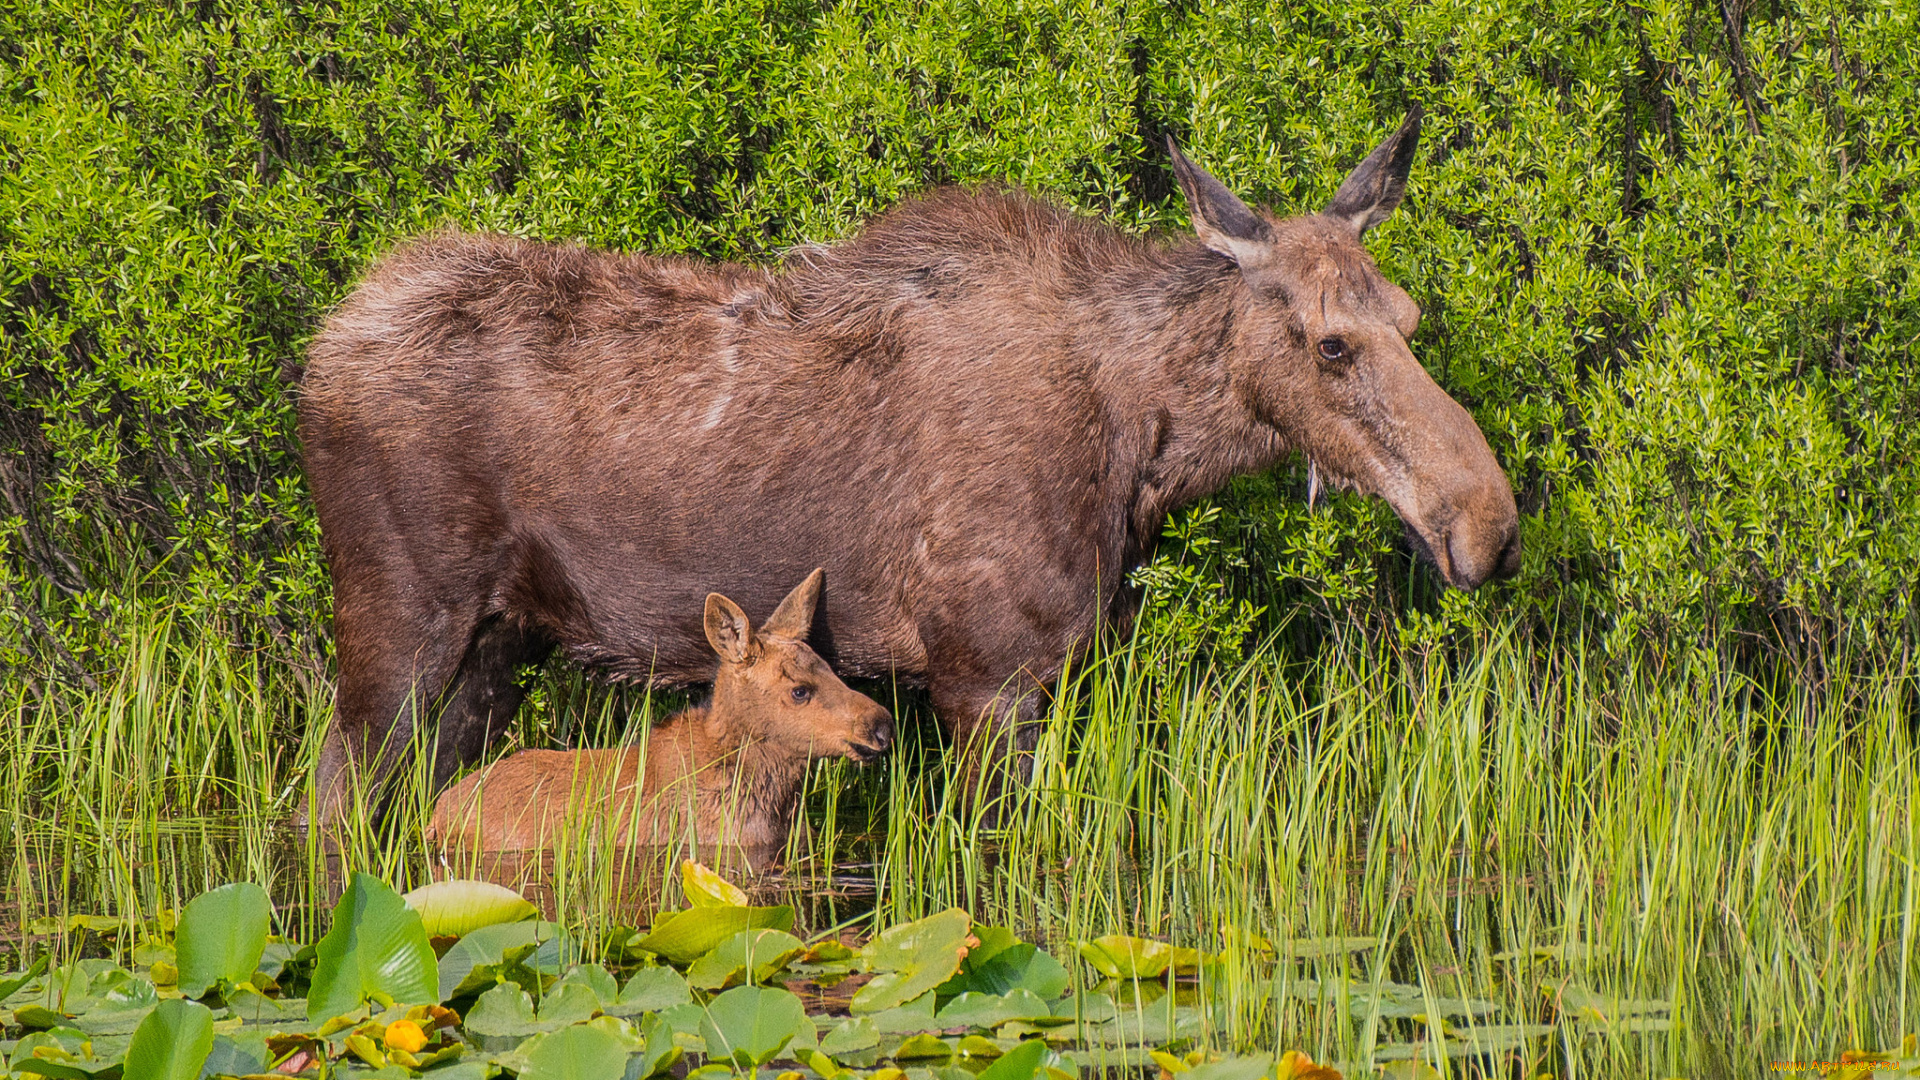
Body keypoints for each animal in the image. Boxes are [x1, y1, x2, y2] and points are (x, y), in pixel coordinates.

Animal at [299, 109, 1520, 822]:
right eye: (1331, 343)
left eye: (1409, 316)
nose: (1489, 525)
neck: (1145, 452)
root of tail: (318, 349)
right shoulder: (984, 676)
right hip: (398, 621)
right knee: (325, 808)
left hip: (497, 643)